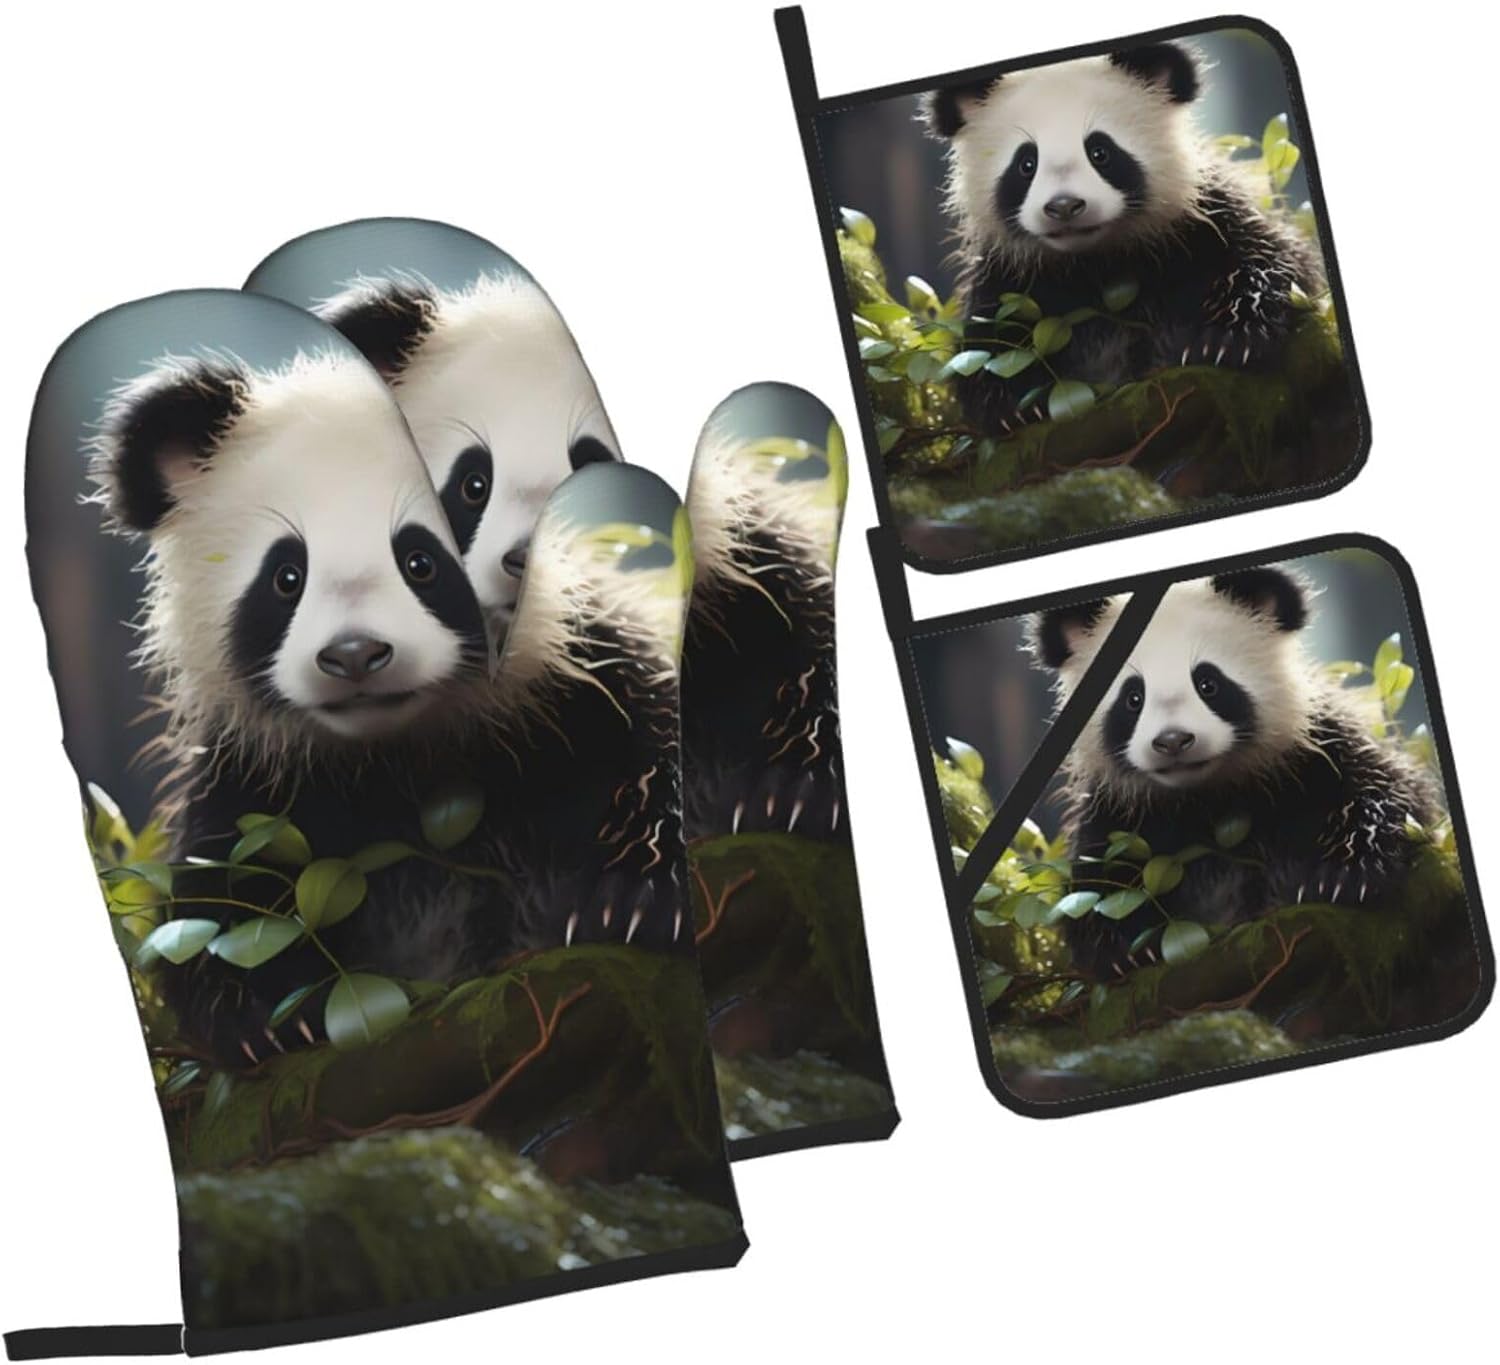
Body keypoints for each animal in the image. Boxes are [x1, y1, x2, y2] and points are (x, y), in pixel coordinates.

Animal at [91, 349, 679, 1070]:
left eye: (420, 561)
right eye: (287, 576)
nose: (355, 654)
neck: (406, 749)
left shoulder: (584, 679)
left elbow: (655, 748)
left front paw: (627, 896)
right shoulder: (259, 774)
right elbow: (215, 894)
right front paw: (265, 1012)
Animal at [921, 43, 1323, 434]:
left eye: (1100, 151)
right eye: (1026, 164)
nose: (1065, 206)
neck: (1097, 259)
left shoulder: (1203, 219)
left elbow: (1269, 259)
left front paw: (1226, 339)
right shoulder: (1010, 270)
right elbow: (985, 337)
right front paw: (1015, 403)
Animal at [1027, 567, 1435, 979]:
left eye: (1208, 683)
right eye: (1133, 698)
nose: (1173, 741)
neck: (1208, 794)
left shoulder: (1314, 750)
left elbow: (1382, 789)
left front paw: (1343, 875)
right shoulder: (1119, 807)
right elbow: (1098, 872)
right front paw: (1123, 946)